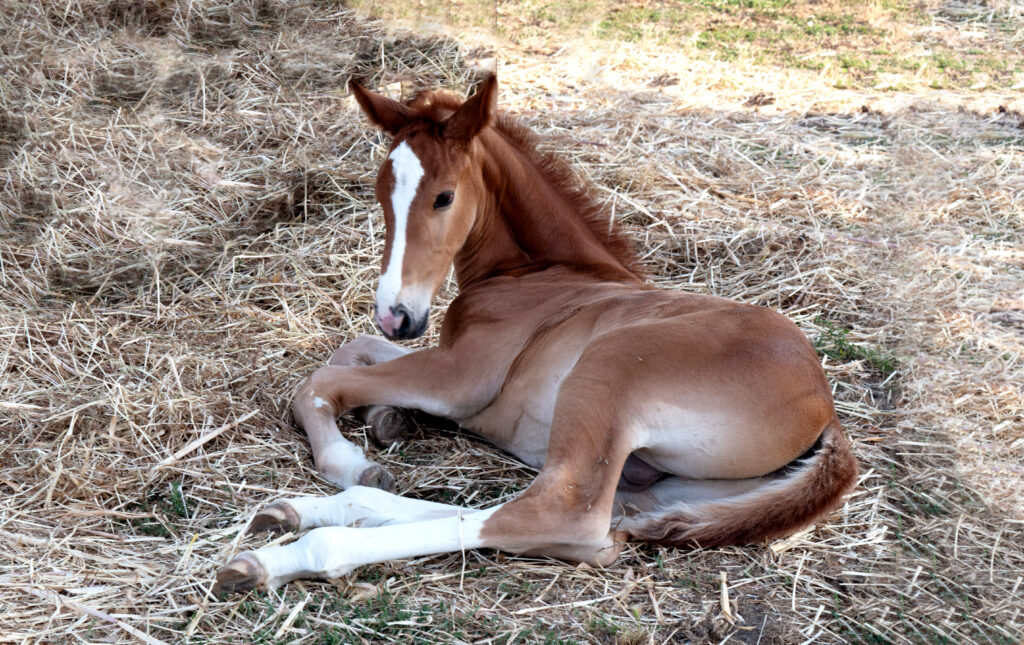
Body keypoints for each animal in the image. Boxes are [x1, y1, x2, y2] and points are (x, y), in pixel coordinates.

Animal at [213, 75, 858, 594]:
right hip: (663, 489)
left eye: (444, 196)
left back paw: (291, 553)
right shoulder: (445, 356)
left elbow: (319, 381)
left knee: (559, 515)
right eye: (379, 194)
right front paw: (386, 418)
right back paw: (307, 512)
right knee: (596, 526)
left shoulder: (461, 377)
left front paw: (350, 457)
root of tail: (826, 413)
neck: (537, 273)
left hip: (610, 367)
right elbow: (354, 352)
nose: (395, 314)